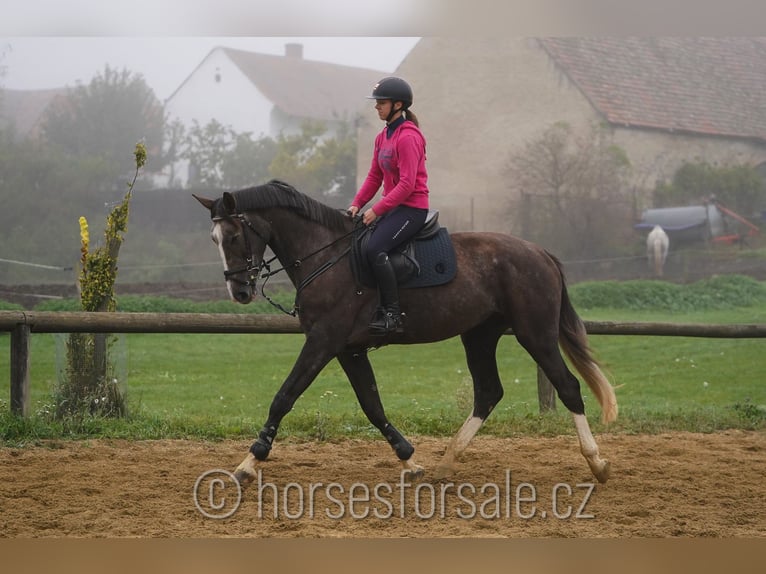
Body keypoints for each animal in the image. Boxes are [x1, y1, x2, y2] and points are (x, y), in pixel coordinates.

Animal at [195, 182, 620, 488]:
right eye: (213, 240)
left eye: (233, 236)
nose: (239, 292)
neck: (324, 255)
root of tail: (540, 252)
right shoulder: (349, 350)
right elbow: (372, 405)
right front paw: (410, 461)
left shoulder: (323, 341)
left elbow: (284, 397)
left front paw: (248, 463)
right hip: (480, 336)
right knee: (488, 392)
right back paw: (446, 464)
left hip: (536, 334)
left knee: (567, 387)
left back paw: (597, 462)